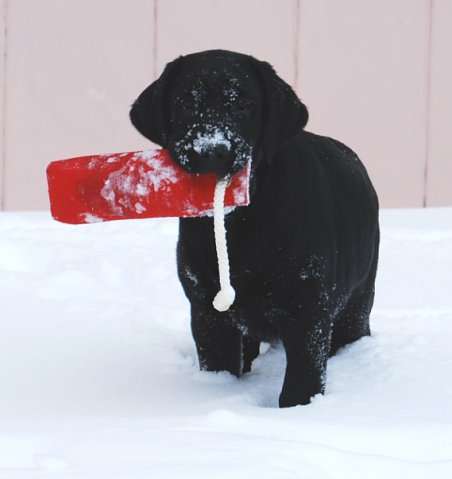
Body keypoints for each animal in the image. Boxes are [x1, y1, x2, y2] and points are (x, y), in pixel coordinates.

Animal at [129, 49, 380, 408]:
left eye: (244, 104)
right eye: (185, 103)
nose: (211, 152)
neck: (242, 224)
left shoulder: (307, 311)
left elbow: (301, 382)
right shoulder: (207, 311)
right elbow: (220, 365)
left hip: (357, 303)